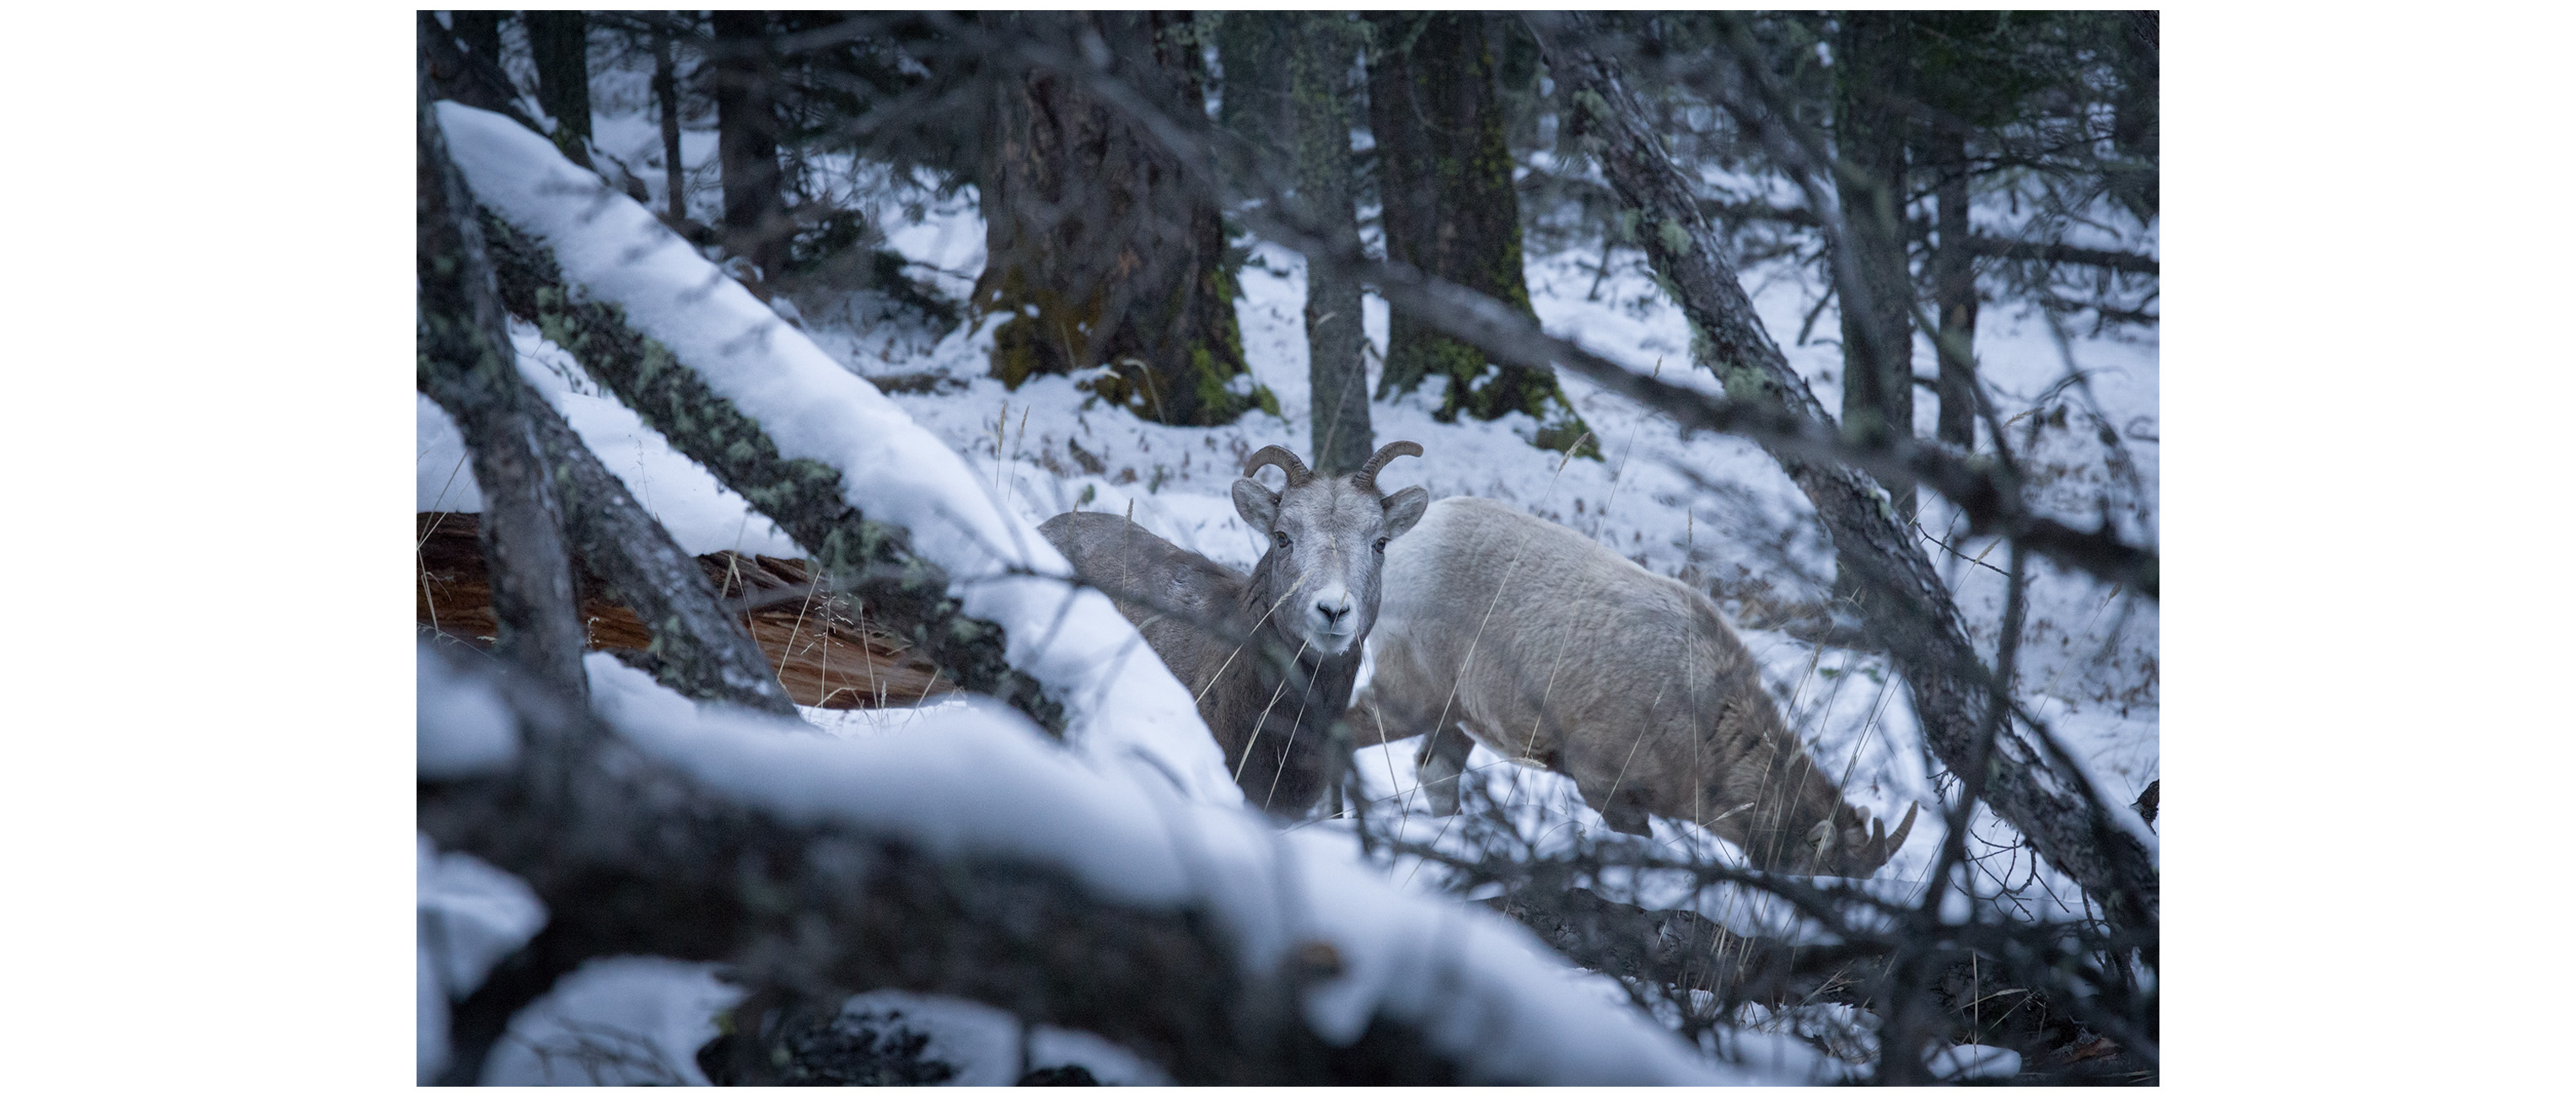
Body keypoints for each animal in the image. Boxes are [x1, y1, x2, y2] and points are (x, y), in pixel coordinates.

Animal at [1348, 496, 1915, 877]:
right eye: (1819, 872)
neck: (1704, 724)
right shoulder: (1602, 784)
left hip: (1457, 716)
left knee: (1436, 773)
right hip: (1413, 697)